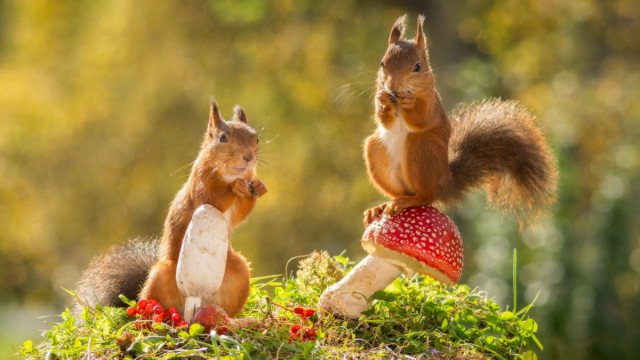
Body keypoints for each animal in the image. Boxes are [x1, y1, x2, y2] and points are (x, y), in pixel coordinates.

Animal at [76, 99, 266, 318]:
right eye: (222, 138)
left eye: (256, 138)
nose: (248, 157)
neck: (230, 174)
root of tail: (193, 303)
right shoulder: (200, 186)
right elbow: (214, 198)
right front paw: (236, 186)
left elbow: (240, 214)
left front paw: (258, 186)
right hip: (161, 276)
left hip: (238, 273)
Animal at [362, 16, 556, 225]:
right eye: (382, 63)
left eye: (417, 67)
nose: (392, 88)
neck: (398, 100)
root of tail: (444, 183)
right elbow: (384, 120)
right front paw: (382, 99)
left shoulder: (432, 103)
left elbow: (422, 118)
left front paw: (410, 102)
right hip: (375, 150)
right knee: (399, 192)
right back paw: (381, 207)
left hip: (421, 148)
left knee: (426, 196)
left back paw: (407, 201)